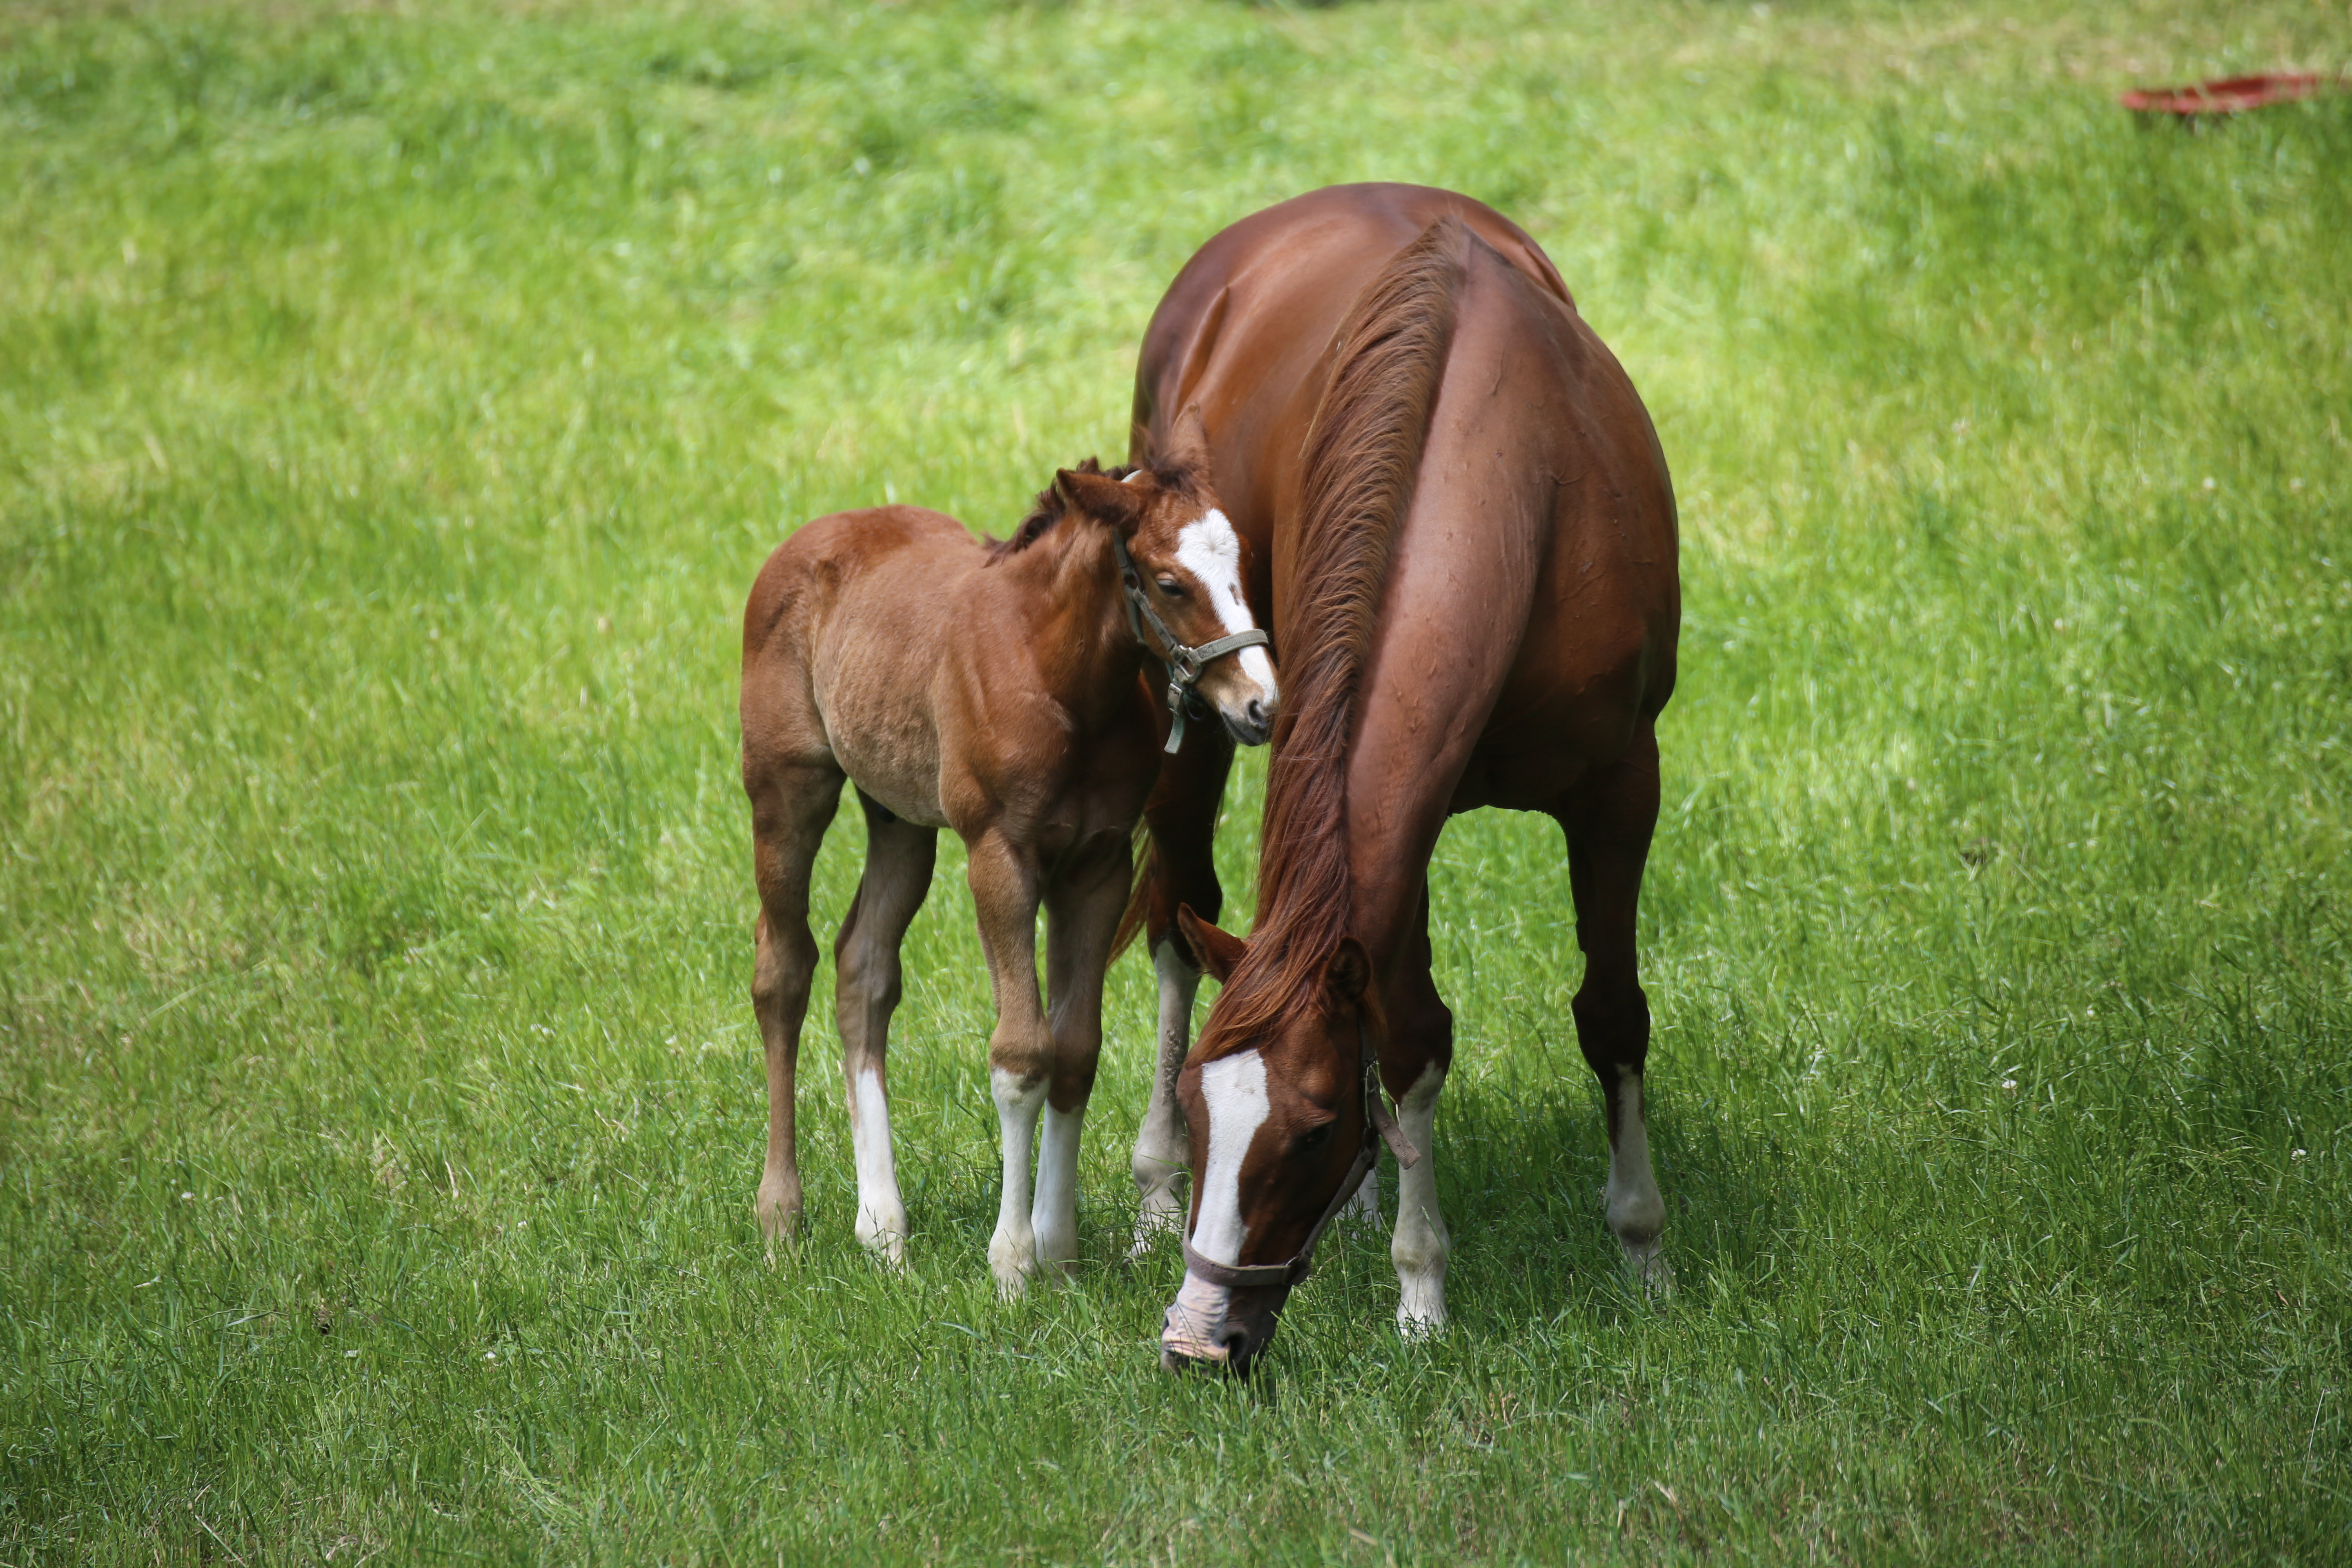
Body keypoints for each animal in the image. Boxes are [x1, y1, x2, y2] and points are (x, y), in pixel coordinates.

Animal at [743, 423, 1279, 1297]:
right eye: (1169, 584)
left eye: (1241, 568)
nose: (1261, 705)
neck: (1058, 678)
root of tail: (815, 535)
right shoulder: (1000, 858)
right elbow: (1023, 1052)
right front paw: (1013, 1264)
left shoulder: (1098, 866)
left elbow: (1076, 1051)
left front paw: (1059, 1253)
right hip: (788, 789)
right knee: (784, 969)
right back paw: (782, 1221)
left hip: (901, 819)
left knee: (864, 968)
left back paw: (883, 1231)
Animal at [1115, 181, 1684, 1373]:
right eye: (1202, 1109)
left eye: (1313, 1130)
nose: (1195, 1341)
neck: (1518, 495)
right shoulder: (1372, 792)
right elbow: (1415, 1035)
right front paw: (1421, 1289)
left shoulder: (1620, 784)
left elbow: (1608, 1014)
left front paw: (1643, 1250)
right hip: (1191, 718)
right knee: (1176, 924)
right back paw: (1149, 1197)